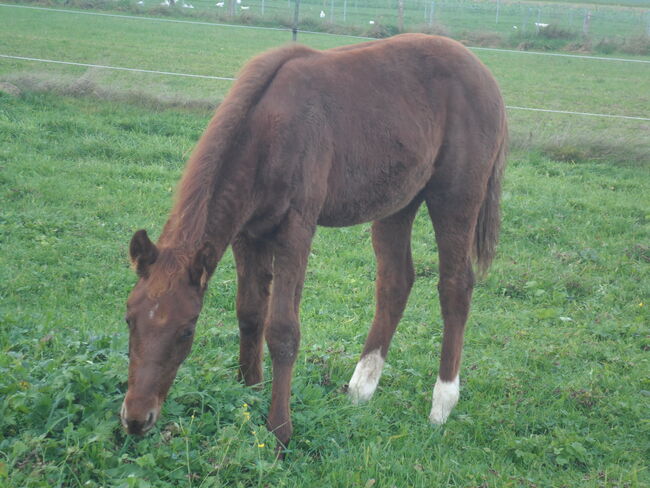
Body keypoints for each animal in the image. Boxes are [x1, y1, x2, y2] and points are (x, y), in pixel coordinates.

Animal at [121, 34, 506, 454]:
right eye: (129, 319)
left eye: (187, 330)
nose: (136, 420)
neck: (268, 130)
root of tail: (483, 72)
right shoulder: (248, 233)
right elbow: (250, 314)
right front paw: (249, 393)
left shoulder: (296, 229)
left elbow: (283, 330)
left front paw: (279, 431)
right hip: (398, 202)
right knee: (395, 282)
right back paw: (360, 390)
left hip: (454, 197)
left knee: (455, 287)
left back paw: (441, 405)